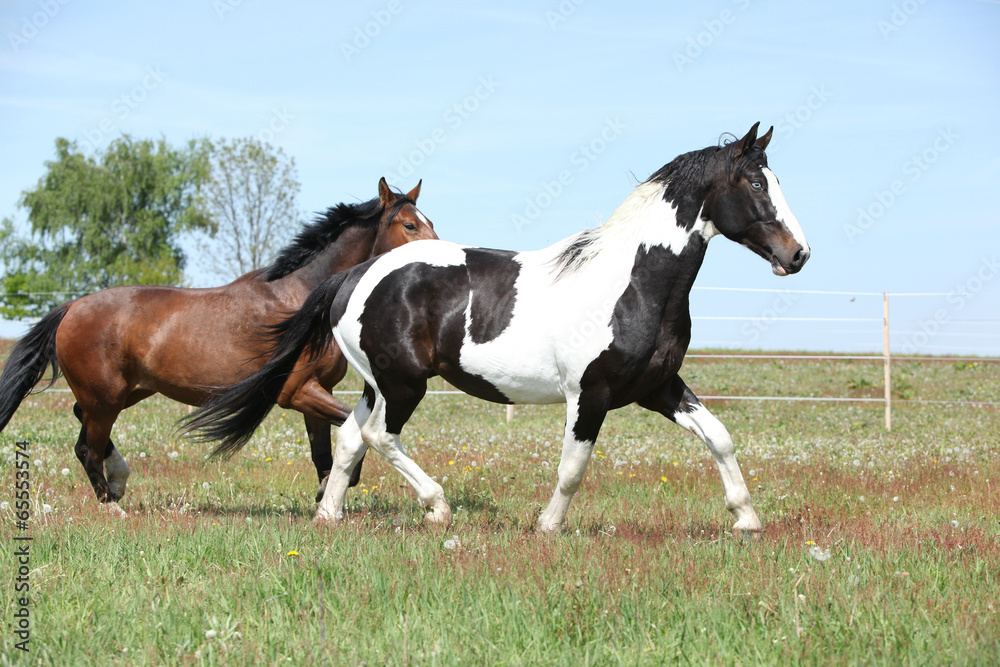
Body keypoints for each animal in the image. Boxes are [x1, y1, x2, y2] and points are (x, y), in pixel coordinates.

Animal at [0, 177, 438, 512]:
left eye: (426, 221)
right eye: (409, 226)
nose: (438, 257)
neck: (302, 297)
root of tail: (71, 307)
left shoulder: (316, 392)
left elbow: (323, 452)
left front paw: (326, 492)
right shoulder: (296, 392)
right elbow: (351, 429)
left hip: (125, 393)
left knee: (81, 429)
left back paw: (119, 481)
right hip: (105, 396)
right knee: (86, 448)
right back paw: (113, 507)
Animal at [188, 122, 808, 536]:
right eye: (756, 185)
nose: (798, 254)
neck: (631, 283)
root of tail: (354, 274)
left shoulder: (657, 387)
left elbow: (719, 436)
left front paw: (746, 520)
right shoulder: (590, 395)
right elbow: (572, 469)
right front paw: (547, 526)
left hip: (375, 382)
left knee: (348, 440)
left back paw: (329, 515)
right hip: (405, 384)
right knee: (379, 437)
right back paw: (437, 507)